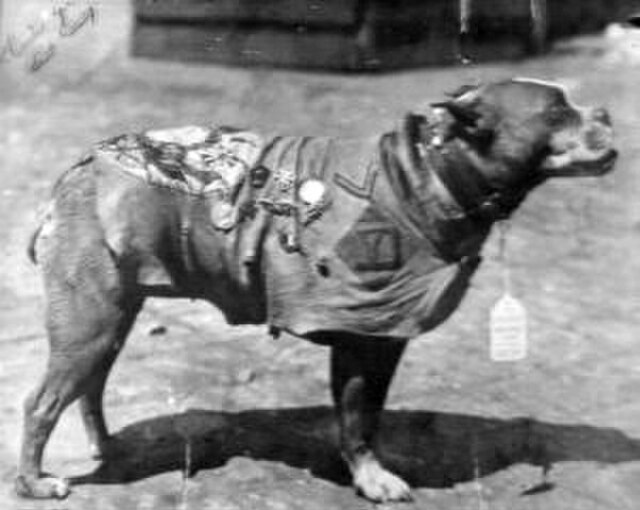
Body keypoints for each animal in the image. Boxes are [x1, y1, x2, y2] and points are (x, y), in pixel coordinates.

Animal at [13, 78, 616, 502]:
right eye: (557, 112)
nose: (607, 113)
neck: (431, 173)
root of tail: (77, 170)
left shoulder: (379, 342)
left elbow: (364, 417)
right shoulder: (364, 339)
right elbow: (358, 420)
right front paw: (373, 479)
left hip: (111, 319)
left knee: (89, 388)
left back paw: (106, 445)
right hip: (88, 324)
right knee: (41, 402)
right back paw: (33, 482)